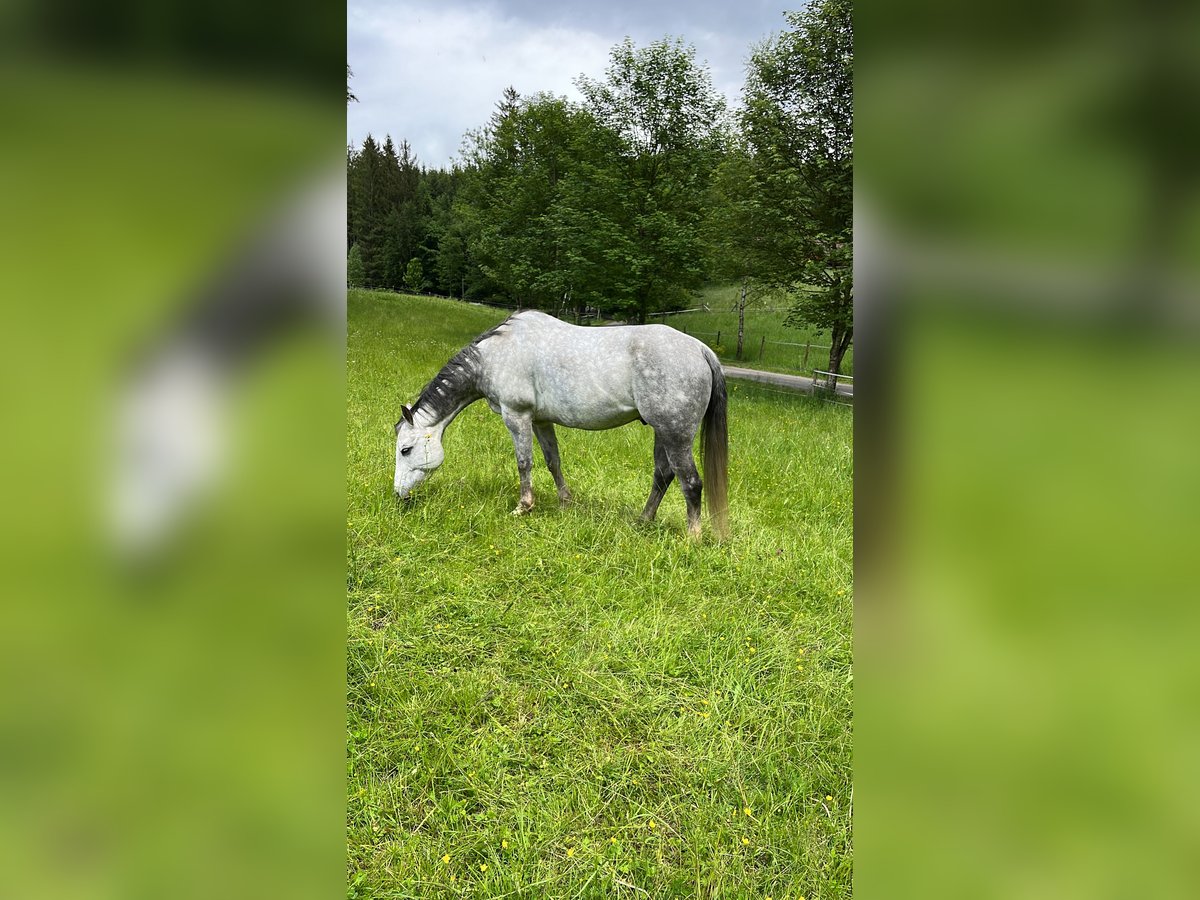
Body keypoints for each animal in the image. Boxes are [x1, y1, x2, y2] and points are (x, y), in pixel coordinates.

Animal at [398, 312, 724, 535]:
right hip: (662, 432)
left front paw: (523, 507)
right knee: (663, 475)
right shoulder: (540, 420)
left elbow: (524, 462)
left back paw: (692, 538)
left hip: (675, 434)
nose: (399, 495)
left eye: (405, 450)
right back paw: (643, 521)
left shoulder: (516, 415)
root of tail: (701, 349)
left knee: (690, 482)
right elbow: (553, 461)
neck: (494, 356)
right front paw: (565, 502)